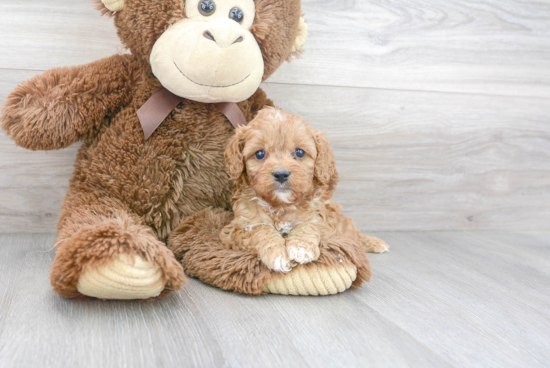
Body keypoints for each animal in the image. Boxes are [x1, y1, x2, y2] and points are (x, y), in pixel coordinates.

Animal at [220, 108, 388, 272]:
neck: (281, 206)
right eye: (260, 154)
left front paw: (301, 248)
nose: (281, 174)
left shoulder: (322, 222)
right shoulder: (238, 227)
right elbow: (260, 230)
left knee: (354, 234)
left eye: (299, 152)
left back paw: (375, 242)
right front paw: (277, 254)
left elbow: (307, 225)